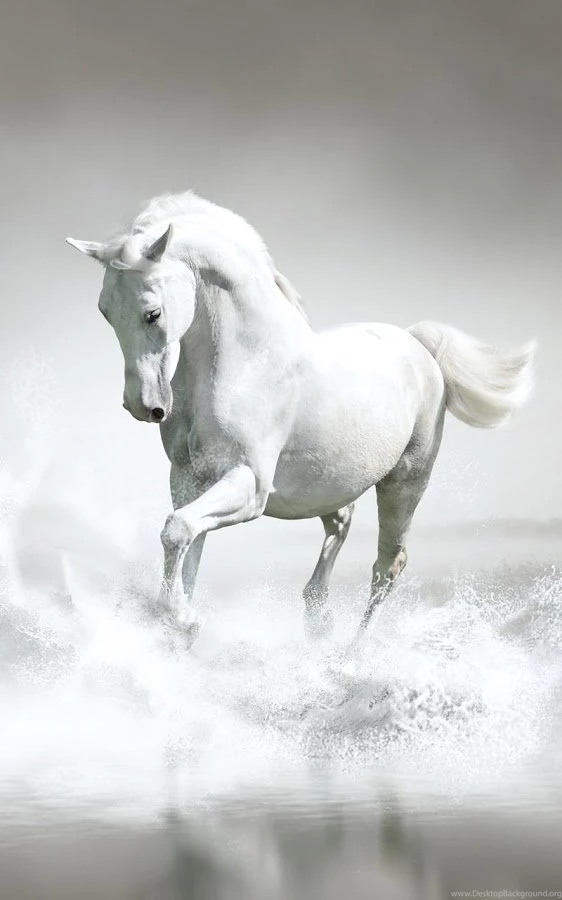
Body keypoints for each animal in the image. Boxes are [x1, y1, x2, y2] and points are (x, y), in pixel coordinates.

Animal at [67, 191, 536, 646]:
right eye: (105, 311)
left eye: (153, 313)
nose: (144, 406)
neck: (247, 363)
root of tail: (418, 346)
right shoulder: (188, 479)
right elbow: (187, 547)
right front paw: (178, 625)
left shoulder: (249, 485)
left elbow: (178, 530)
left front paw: (182, 620)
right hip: (327, 485)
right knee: (342, 524)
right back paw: (318, 617)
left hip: (405, 482)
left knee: (387, 566)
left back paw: (350, 655)